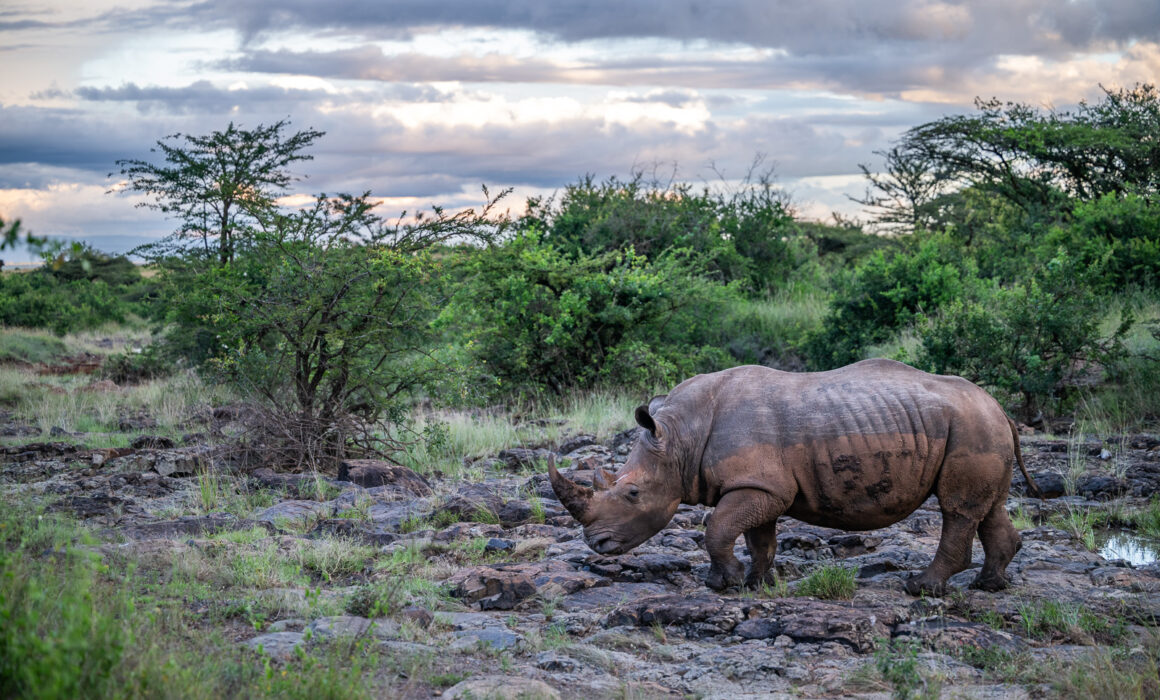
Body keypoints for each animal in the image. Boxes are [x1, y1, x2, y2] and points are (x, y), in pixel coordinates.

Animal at [549, 359, 1038, 596]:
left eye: (632, 492)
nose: (596, 544)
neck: (679, 437)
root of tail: (999, 406)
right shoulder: (760, 484)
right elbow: (758, 537)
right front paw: (758, 583)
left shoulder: (760, 484)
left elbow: (717, 528)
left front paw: (723, 584)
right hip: (977, 428)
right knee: (987, 507)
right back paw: (990, 585)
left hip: (971, 427)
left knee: (957, 509)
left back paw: (921, 589)